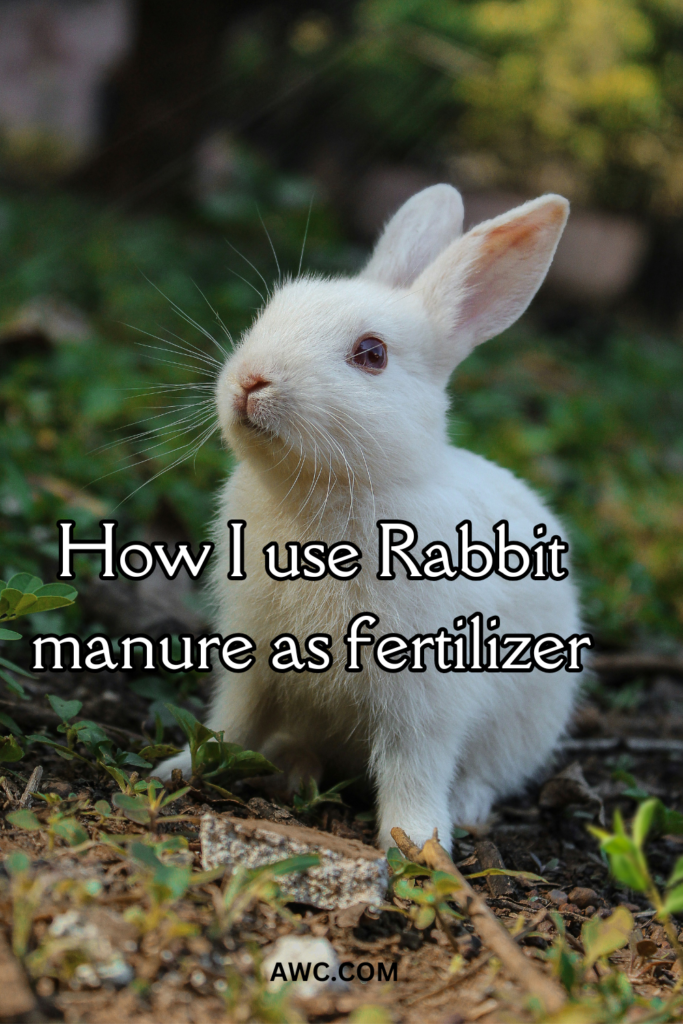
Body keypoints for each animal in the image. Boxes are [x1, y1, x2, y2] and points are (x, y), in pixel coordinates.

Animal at [158, 184, 582, 852]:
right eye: (273, 310)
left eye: (372, 354)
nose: (251, 381)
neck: (327, 494)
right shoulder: (253, 659)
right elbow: (232, 721)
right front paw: (180, 768)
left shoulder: (425, 695)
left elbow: (414, 766)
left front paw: (418, 845)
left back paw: (464, 808)